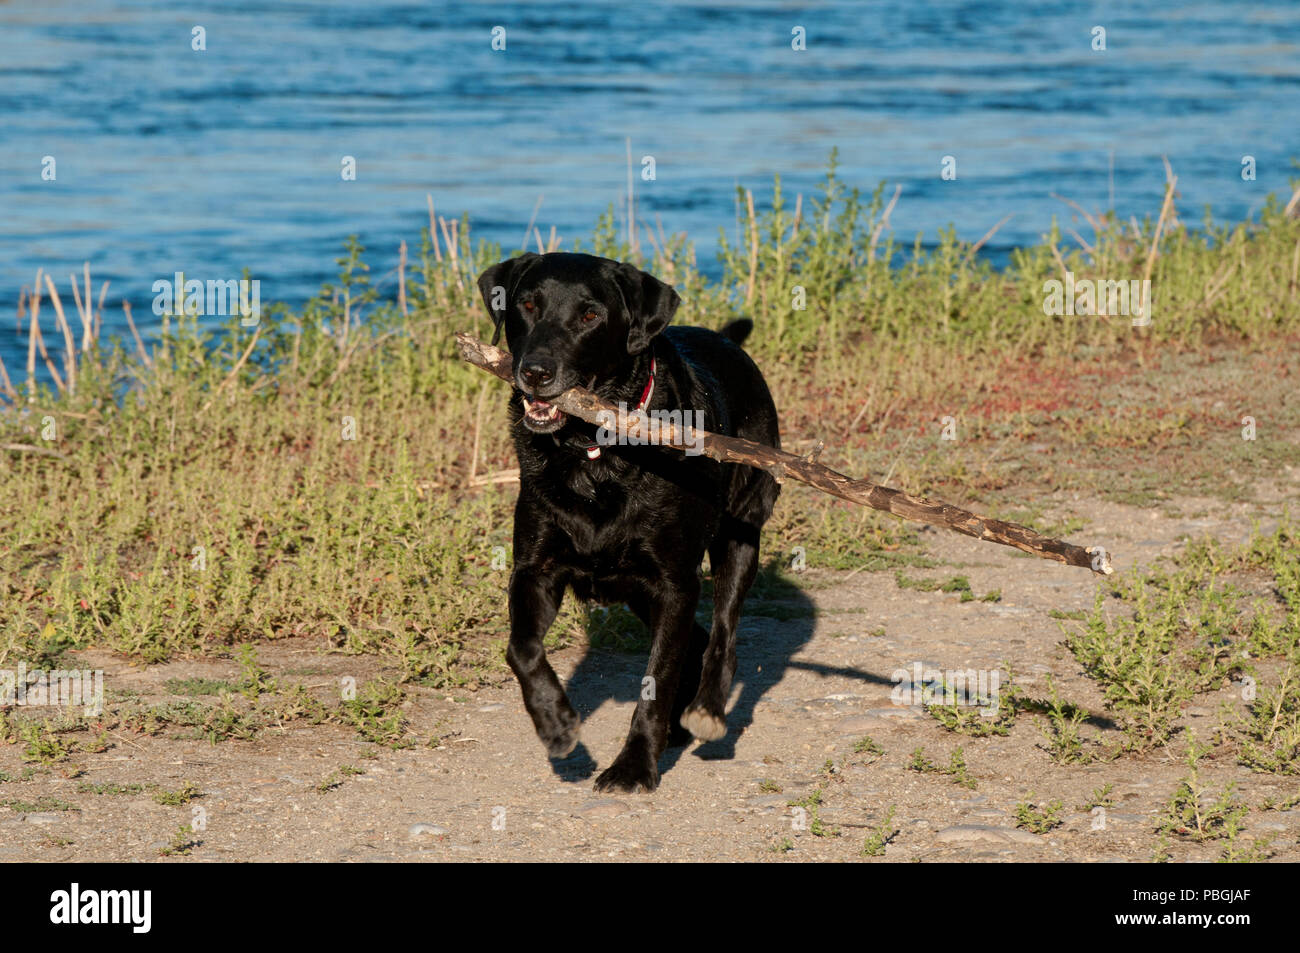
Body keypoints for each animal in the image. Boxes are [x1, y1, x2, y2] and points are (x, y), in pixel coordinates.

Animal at [480, 249, 774, 790]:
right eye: (527, 305)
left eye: (590, 315)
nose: (536, 372)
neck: (591, 452)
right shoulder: (535, 570)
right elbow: (521, 649)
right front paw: (555, 723)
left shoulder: (674, 582)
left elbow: (656, 678)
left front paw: (634, 765)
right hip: (641, 591)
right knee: (696, 639)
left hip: (739, 534)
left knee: (722, 633)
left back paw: (705, 710)